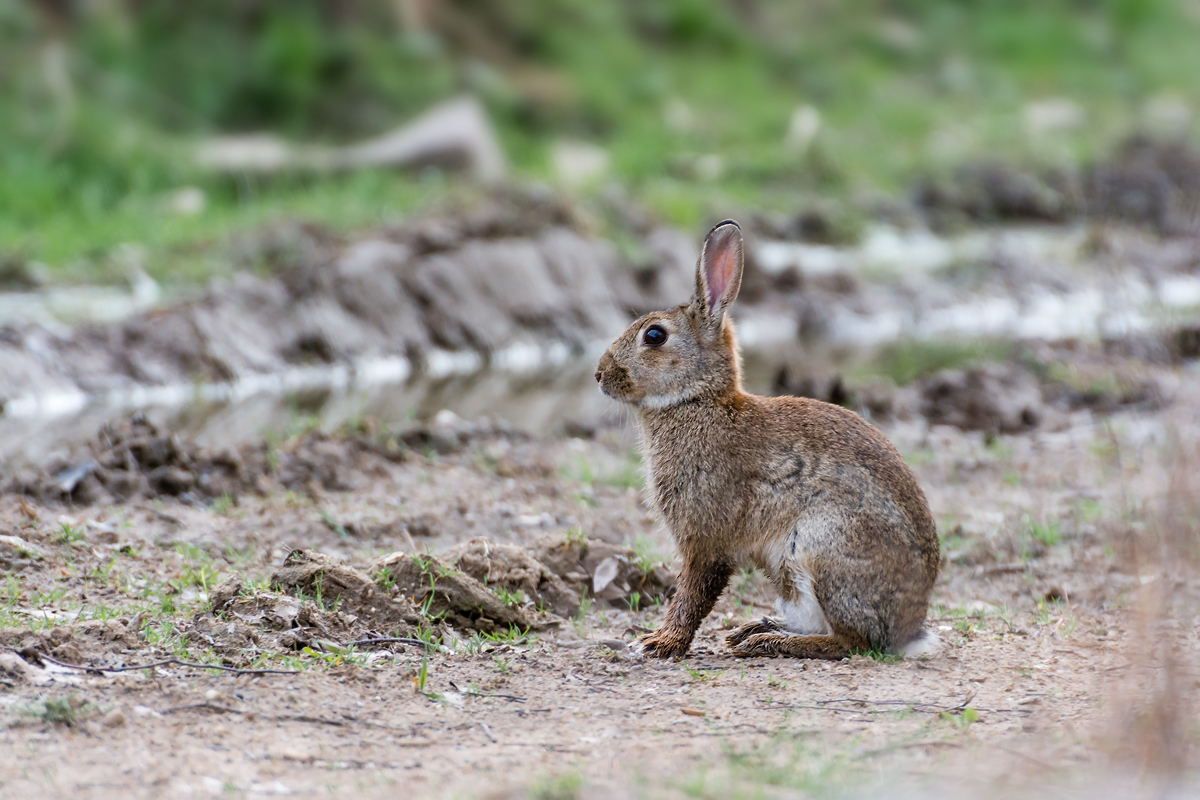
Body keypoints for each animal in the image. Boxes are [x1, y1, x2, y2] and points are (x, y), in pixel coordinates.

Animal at [595, 220, 940, 662]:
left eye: (654, 336)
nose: (599, 374)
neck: (698, 400)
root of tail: (908, 629)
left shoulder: (706, 538)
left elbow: (693, 594)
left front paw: (662, 642)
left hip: (819, 550)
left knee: (852, 641)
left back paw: (769, 641)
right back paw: (756, 630)